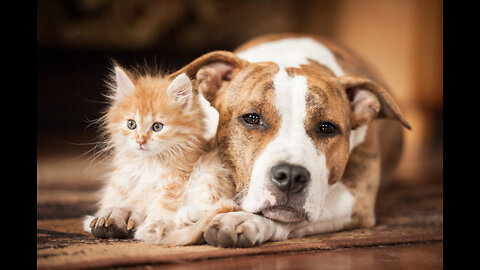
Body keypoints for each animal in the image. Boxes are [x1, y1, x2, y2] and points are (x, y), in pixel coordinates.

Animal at [85, 63, 239, 245]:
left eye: (157, 127)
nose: (140, 141)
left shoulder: (177, 179)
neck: (147, 163)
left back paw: (181, 219)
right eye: (131, 124)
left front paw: (152, 225)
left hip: (212, 170)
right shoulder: (122, 179)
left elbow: (162, 203)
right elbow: (117, 199)